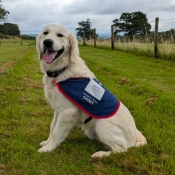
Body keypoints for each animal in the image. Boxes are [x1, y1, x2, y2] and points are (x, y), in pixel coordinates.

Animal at [36, 23, 146, 157]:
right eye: (45, 33)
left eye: (60, 35)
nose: (47, 42)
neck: (62, 69)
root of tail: (136, 136)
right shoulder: (58, 109)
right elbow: (52, 127)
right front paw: (46, 142)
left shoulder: (67, 112)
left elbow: (57, 132)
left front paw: (48, 148)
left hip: (102, 125)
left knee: (122, 148)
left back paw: (100, 155)